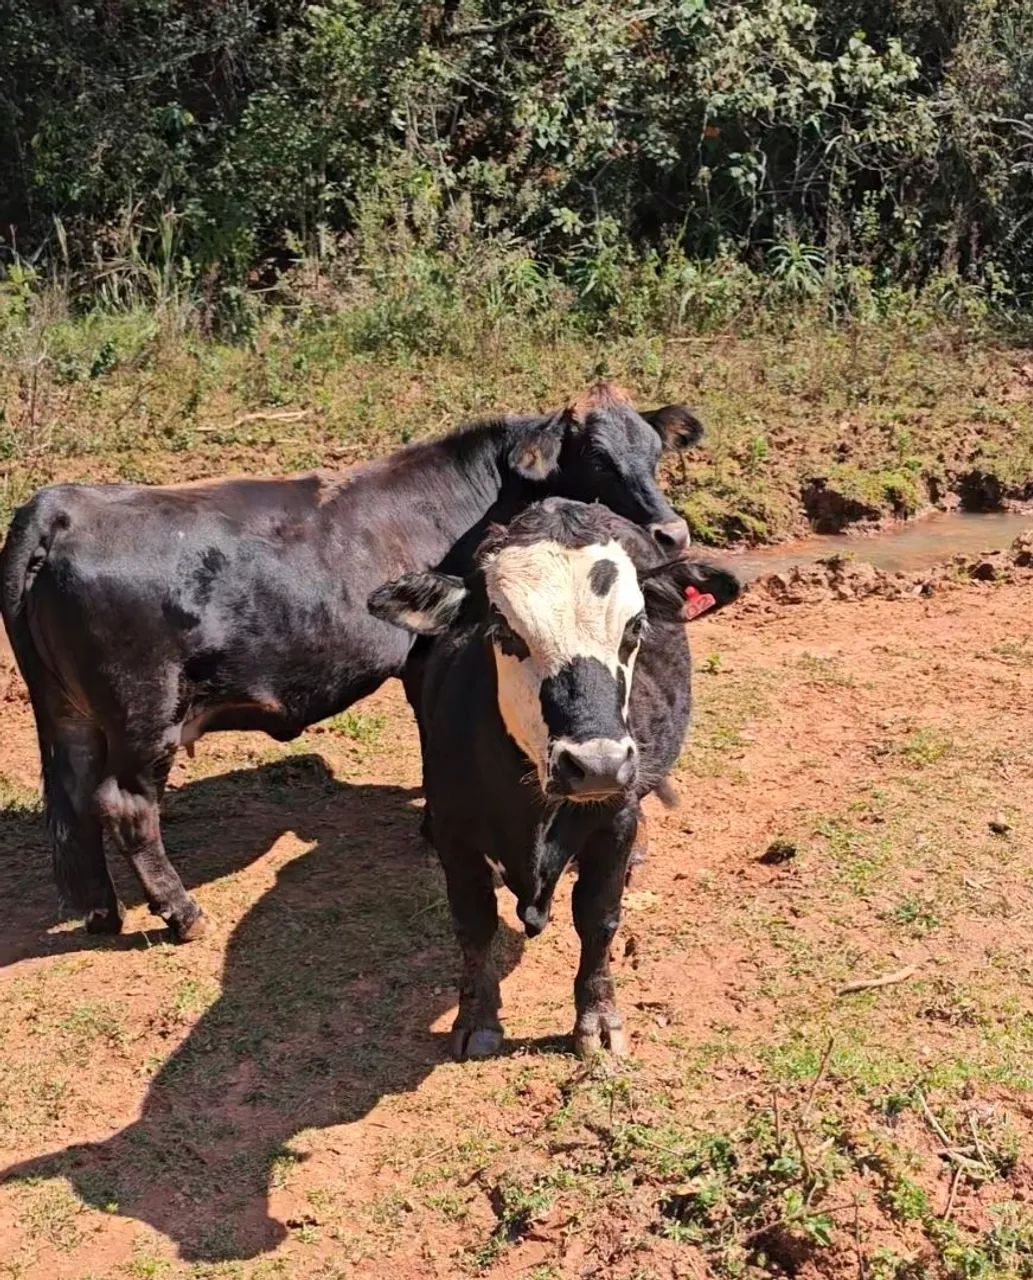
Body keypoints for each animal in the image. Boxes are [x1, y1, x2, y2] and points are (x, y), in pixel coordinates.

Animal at [0, 382, 703, 943]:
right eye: (595, 456)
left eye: (654, 451)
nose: (671, 532)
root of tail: (61, 506)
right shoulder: (426, 656)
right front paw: (430, 824)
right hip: (144, 712)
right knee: (125, 805)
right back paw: (181, 912)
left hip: (67, 711)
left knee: (74, 795)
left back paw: (101, 911)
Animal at [368, 498, 740, 1059]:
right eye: (504, 628)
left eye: (635, 627)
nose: (597, 765)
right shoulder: (457, 834)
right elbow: (473, 924)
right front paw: (476, 1017)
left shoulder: (613, 822)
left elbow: (598, 918)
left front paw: (598, 1019)